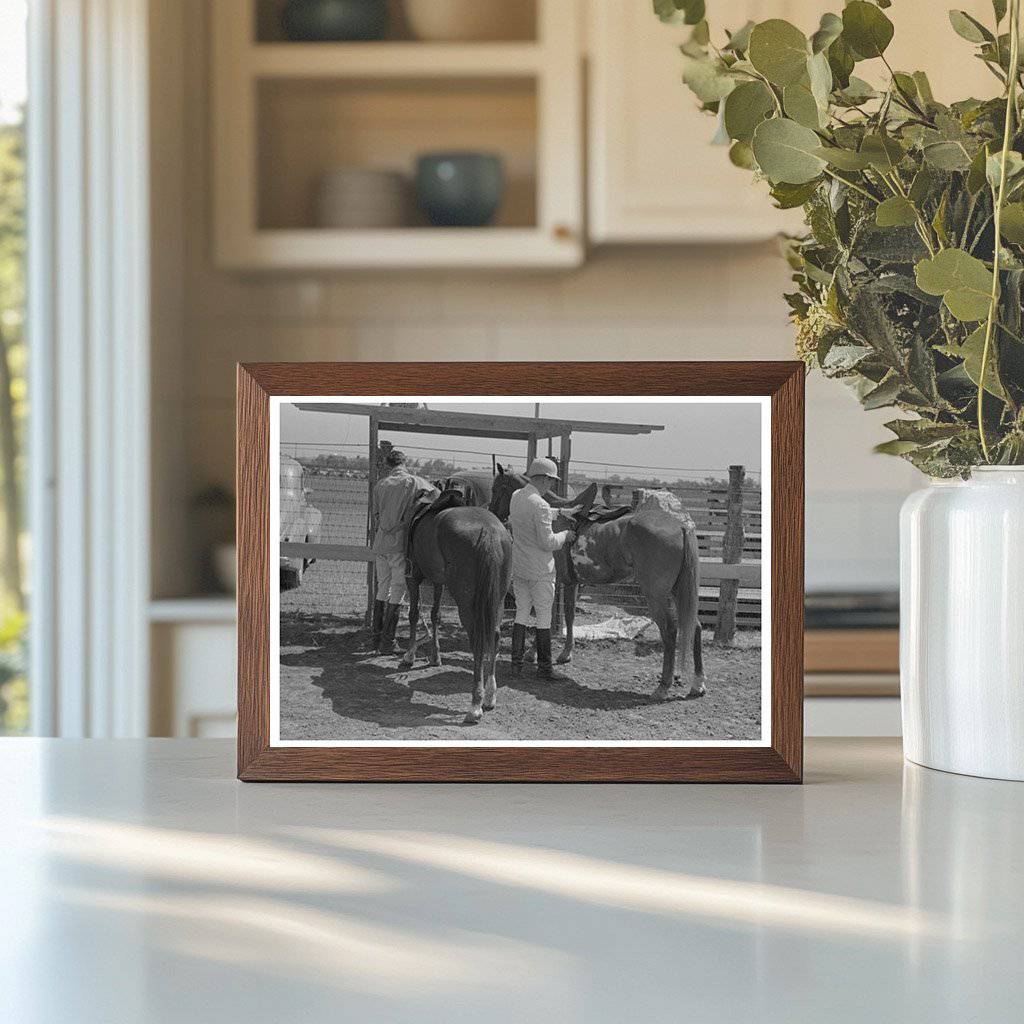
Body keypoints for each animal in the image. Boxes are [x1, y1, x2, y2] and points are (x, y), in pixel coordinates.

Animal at [399, 489, 512, 724]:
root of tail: (488, 531)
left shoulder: (413, 577)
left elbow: (414, 613)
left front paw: (409, 655)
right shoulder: (438, 581)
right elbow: (435, 615)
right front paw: (435, 657)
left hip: (467, 603)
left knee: (478, 640)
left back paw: (475, 705)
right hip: (497, 599)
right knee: (495, 635)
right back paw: (489, 697)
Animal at [552, 499, 704, 700]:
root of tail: (680, 526)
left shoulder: (558, 580)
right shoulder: (573, 582)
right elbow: (569, 615)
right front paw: (567, 652)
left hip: (656, 596)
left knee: (669, 630)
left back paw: (663, 686)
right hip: (678, 592)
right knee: (695, 626)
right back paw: (698, 684)